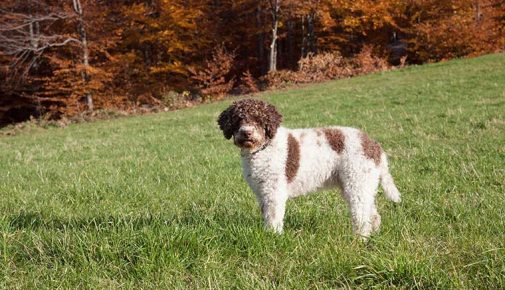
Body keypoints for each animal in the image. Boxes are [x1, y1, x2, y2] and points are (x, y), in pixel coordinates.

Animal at [215, 98, 400, 237]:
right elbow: (266, 215)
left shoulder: (274, 192)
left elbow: (273, 217)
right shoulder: (262, 192)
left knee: (362, 216)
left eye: (259, 120)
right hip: (362, 185)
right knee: (373, 214)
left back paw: (360, 238)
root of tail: (373, 145)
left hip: (357, 182)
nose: (246, 132)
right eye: (238, 119)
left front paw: (273, 237)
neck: (263, 148)